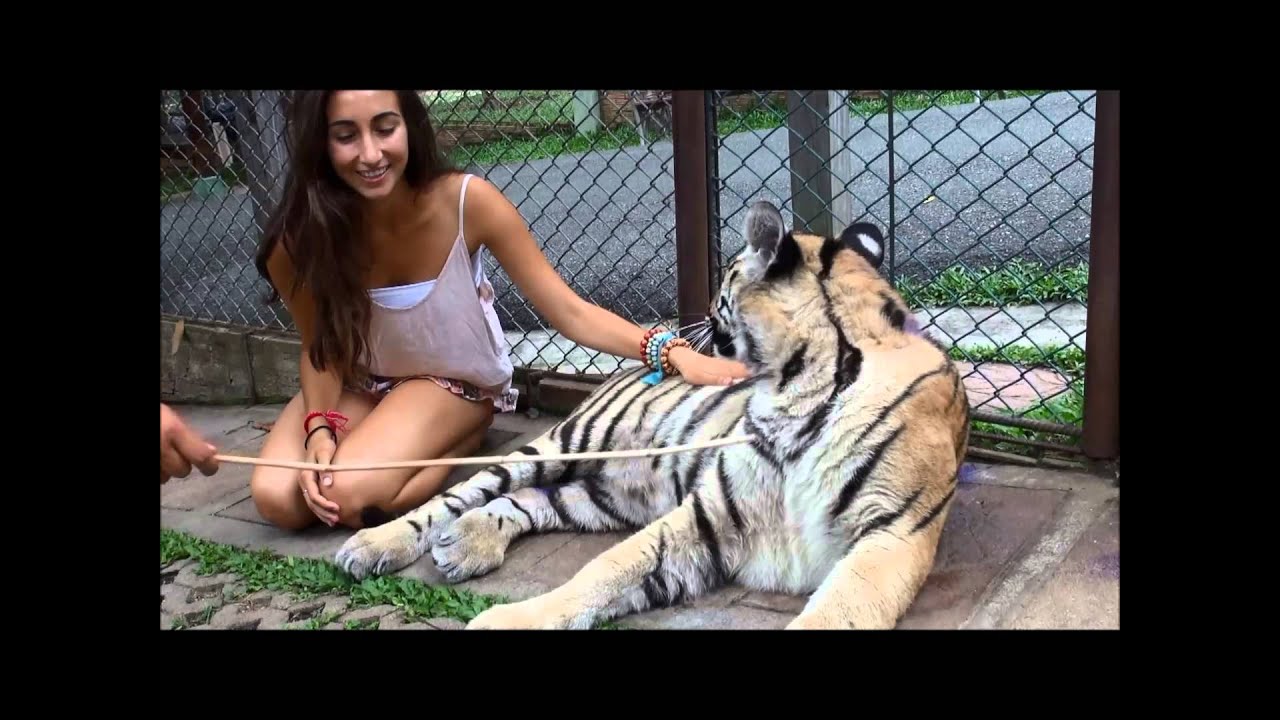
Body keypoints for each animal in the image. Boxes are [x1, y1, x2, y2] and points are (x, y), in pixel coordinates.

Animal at [334, 199, 971, 630]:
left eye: (726, 278)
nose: (703, 318)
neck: (796, 388)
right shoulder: (710, 516)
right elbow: (604, 572)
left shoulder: (892, 537)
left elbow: (837, 611)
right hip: (567, 443)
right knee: (458, 494)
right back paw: (373, 545)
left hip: (607, 496)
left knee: (530, 501)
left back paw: (464, 544)